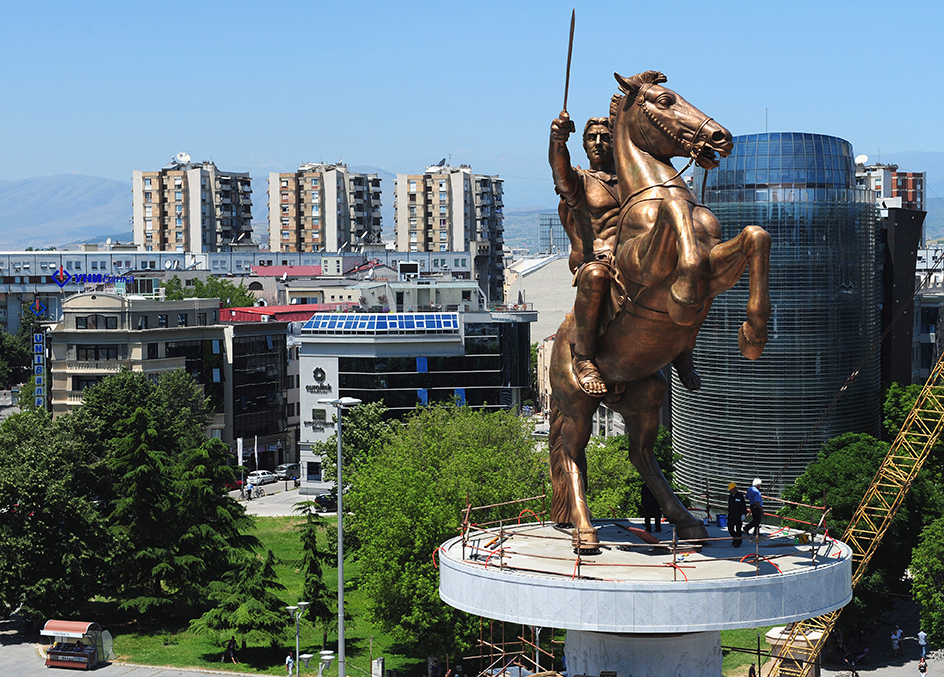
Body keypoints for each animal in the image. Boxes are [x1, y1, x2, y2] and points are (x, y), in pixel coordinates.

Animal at [548, 68, 772, 548]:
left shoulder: (718, 267)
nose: (721, 138)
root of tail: (556, 345)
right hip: (576, 404)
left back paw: (687, 523)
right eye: (665, 100)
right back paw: (585, 533)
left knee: (641, 455)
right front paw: (685, 299)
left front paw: (752, 336)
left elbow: (755, 235)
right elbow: (673, 214)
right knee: (573, 455)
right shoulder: (646, 269)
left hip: (644, 399)